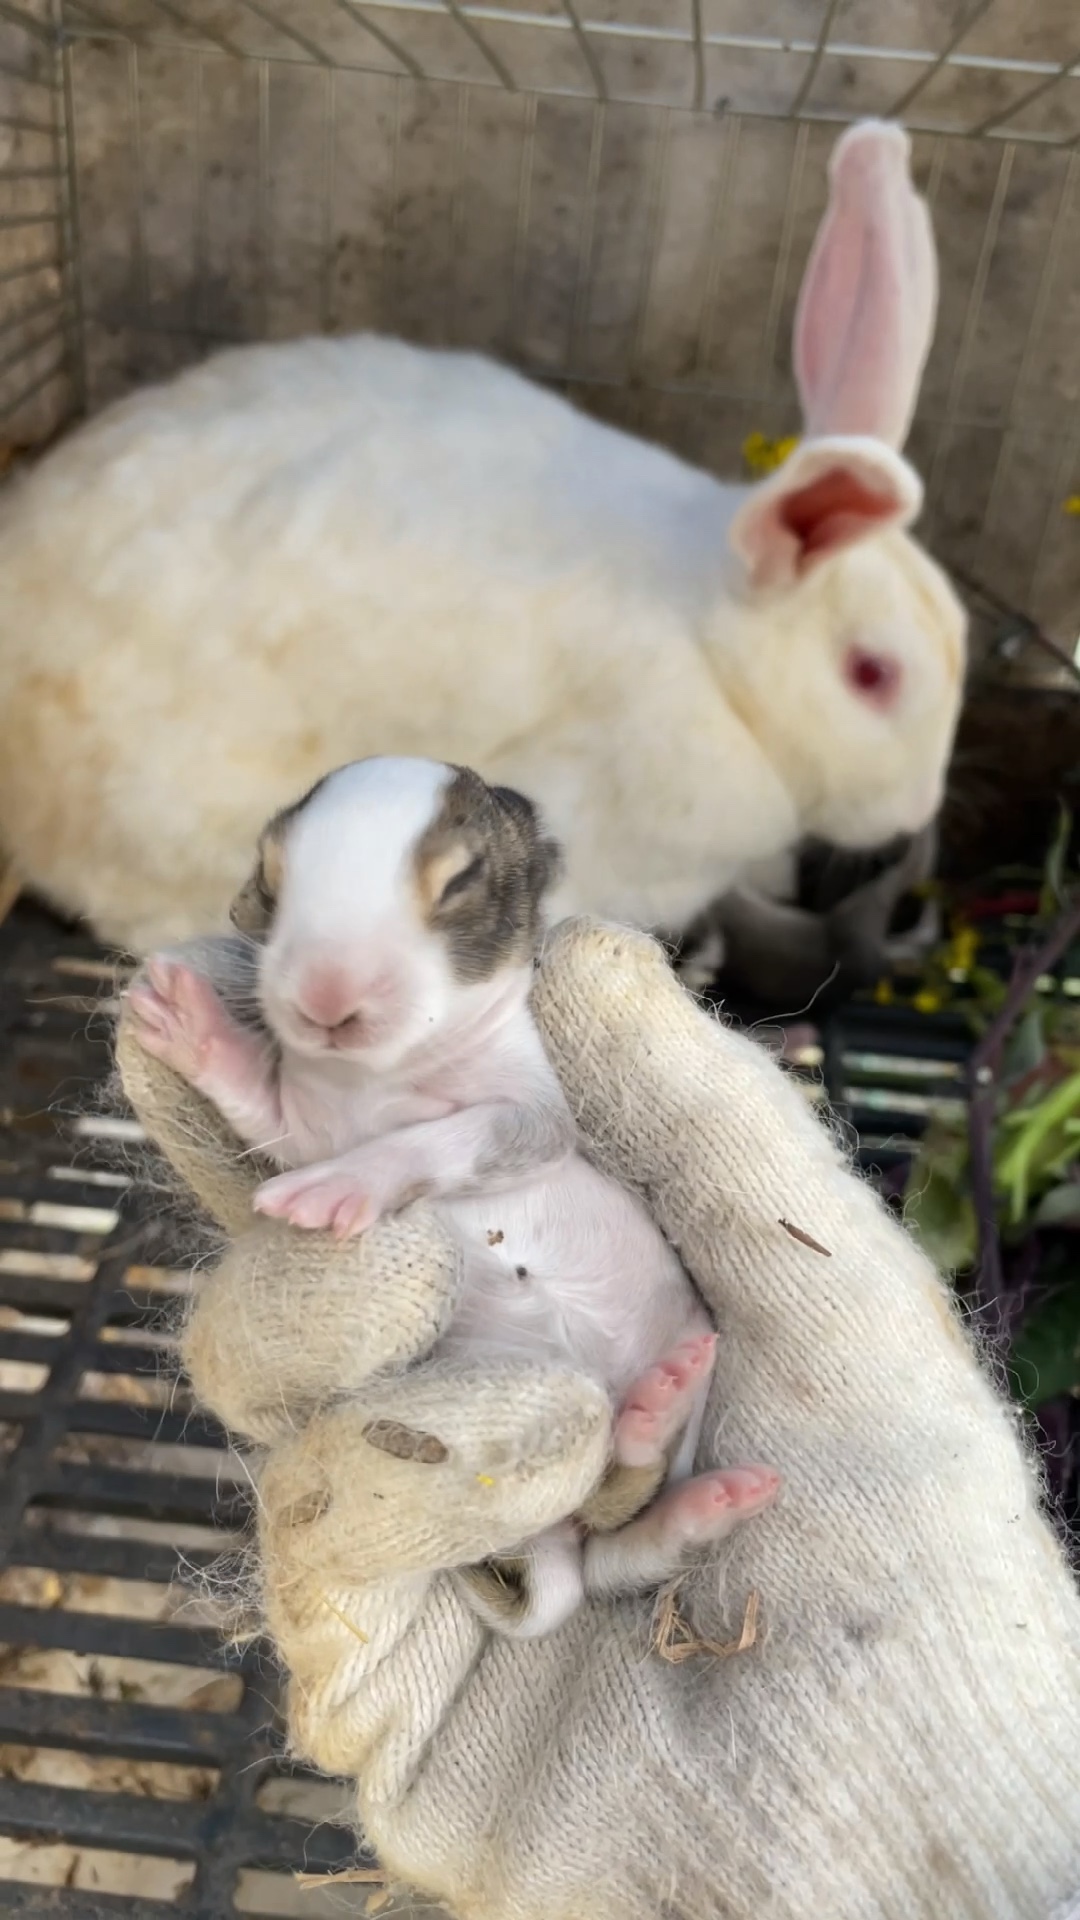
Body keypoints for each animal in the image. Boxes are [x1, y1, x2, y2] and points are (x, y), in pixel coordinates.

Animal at [127, 752, 772, 1635]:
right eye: (272, 875)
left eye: (460, 880)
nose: (326, 1001)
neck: (389, 1075)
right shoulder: (306, 1121)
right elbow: (269, 1115)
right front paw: (197, 1028)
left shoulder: (534, 1116)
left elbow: (461, 1135)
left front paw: (346, 1186)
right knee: (611, 1530)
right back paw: (663, 1449)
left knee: (621, 1518)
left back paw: (661, 1424)